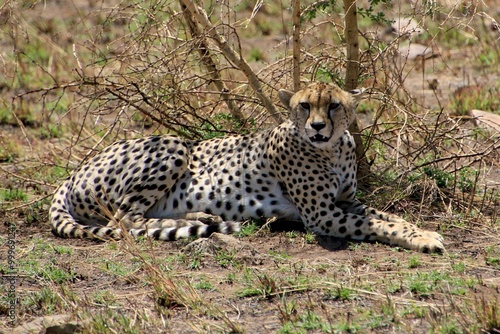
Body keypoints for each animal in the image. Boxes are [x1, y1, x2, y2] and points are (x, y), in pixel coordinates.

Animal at [48, 82, 444, 252]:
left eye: (333, 105)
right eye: (304, 105)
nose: (317, 126)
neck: (331, 149)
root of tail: (74, 172)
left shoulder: (346, 202)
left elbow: (390, 216)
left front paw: (421, 231)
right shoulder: (321, 214)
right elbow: (376, 224)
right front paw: (424, 240)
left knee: (135, 219)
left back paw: (201, 218)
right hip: (173, 145)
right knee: (125, 221)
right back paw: (196, 224)